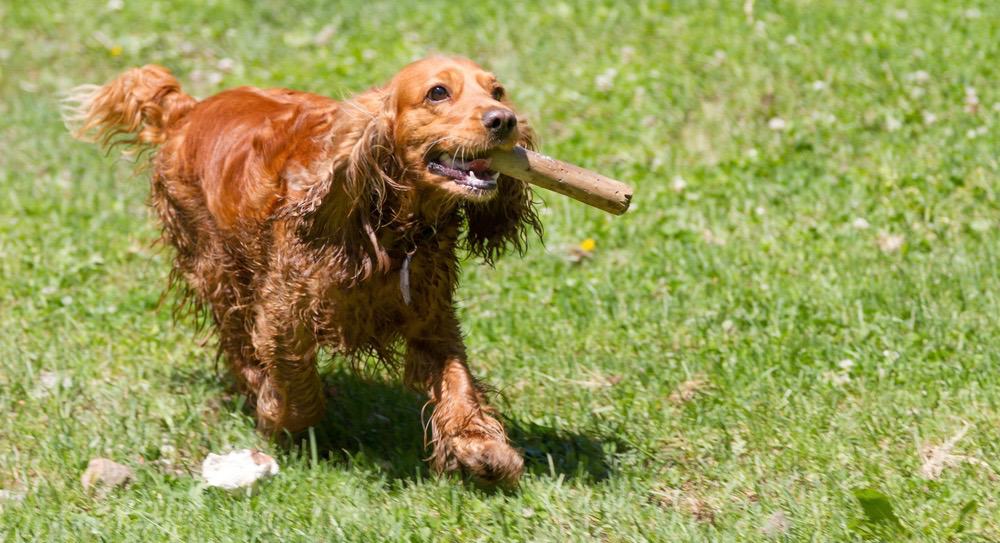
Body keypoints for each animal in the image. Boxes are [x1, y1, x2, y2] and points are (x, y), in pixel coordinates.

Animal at [66, 57, 544, 486]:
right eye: (438, 92)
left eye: (497, 91)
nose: (504, 120)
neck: (391, 228)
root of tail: (186, 109)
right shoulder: (283, 315)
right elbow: (299, 389)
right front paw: (277, 415)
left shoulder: (432, 320)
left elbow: (457, 383)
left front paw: (482, 447)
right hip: (218, 266)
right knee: (237, 342)